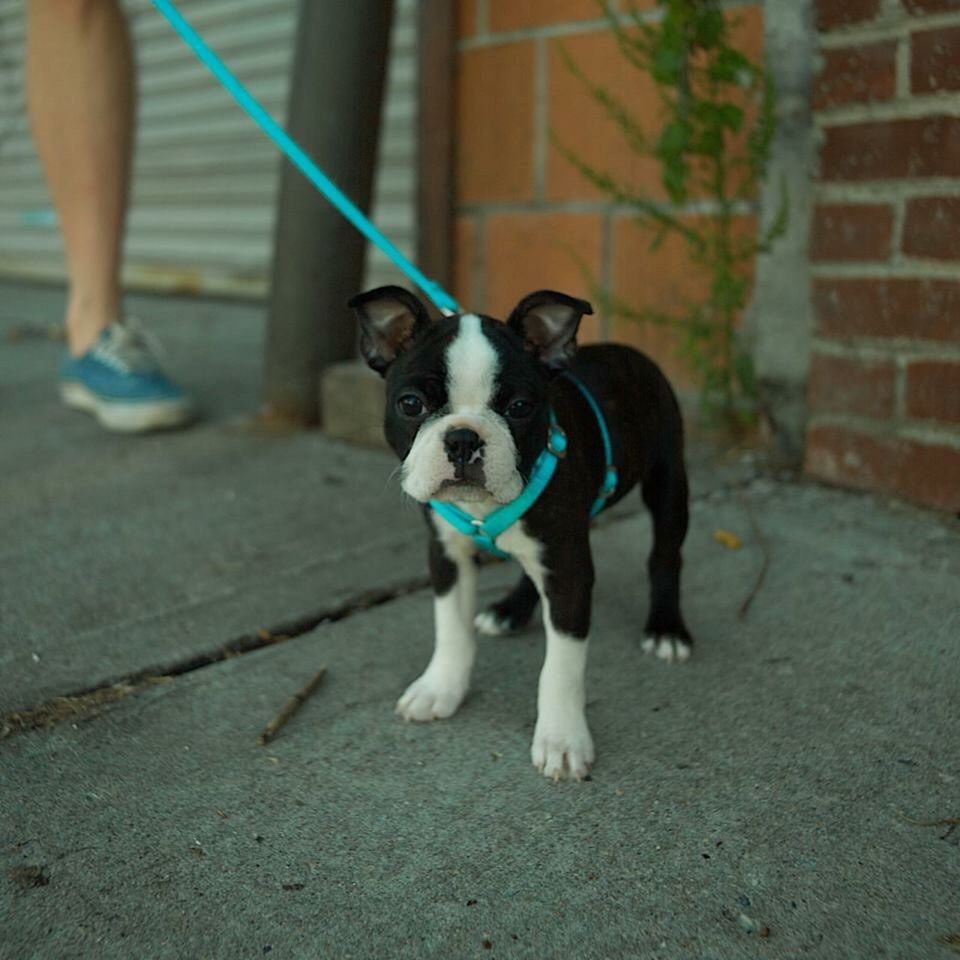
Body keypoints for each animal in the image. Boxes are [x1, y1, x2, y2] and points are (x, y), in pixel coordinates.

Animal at [348, 286, 692, 780]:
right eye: (411, 404)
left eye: (520, 408)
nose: (463, 439)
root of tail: (628, 351)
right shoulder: (447, 554)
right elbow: (451, 628)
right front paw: (441, 687)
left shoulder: (568, 570)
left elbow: (561, 664)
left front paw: (562, 739)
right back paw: (511, 610)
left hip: (667, 478)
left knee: (665, 554)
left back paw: (666, 628)